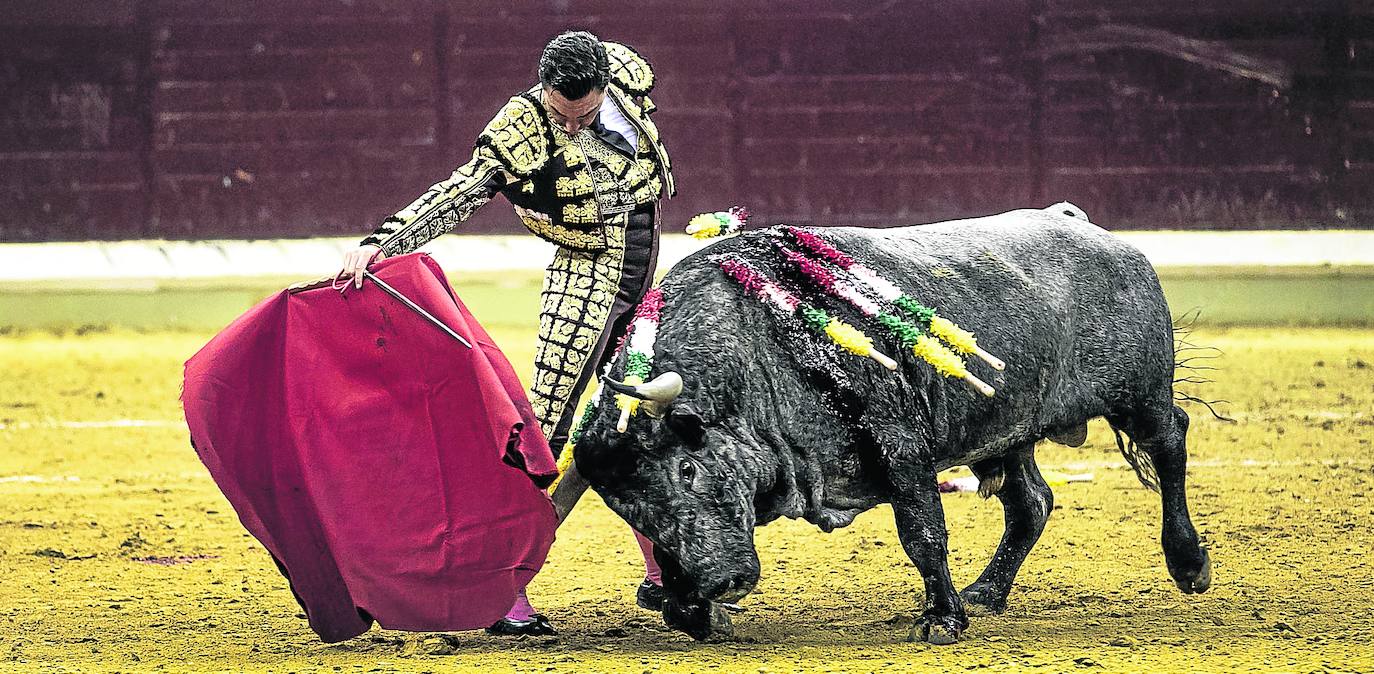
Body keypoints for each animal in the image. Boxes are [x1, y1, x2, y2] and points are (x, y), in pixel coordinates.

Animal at [568, 205, 1214, 642]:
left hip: (1140, 394)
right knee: (1031, 502)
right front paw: (691, 611)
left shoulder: (901, 446)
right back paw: (987, 592)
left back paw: (1189, 564)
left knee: (1171, 443)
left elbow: (923, 534)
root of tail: (1089, 229)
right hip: (1006, 434)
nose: (721, 582)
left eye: (687, 470)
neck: (756, 346)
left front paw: (942, 621)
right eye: (627, 509)